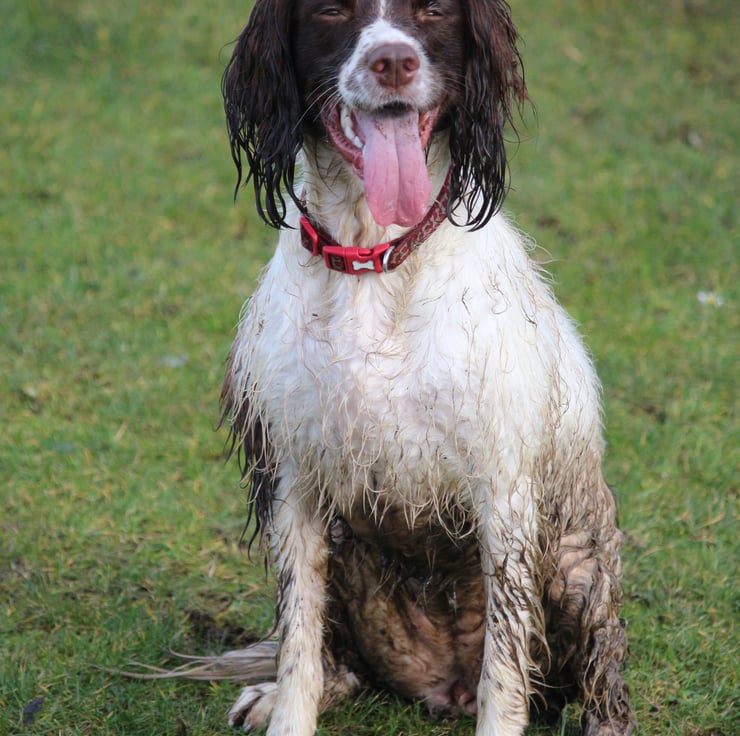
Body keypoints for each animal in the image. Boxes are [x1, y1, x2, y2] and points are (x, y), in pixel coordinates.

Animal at [198, 2, 634, 734]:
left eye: (432, 11)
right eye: (330, 11)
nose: (393, 62)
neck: (374, 259)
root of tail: (440, 684)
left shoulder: (504, 494)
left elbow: (504, 677)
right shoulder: (294, 482)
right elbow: (298, 648)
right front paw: (286, 705)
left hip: (578, 567)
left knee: (602, 690)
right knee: (337, 659)